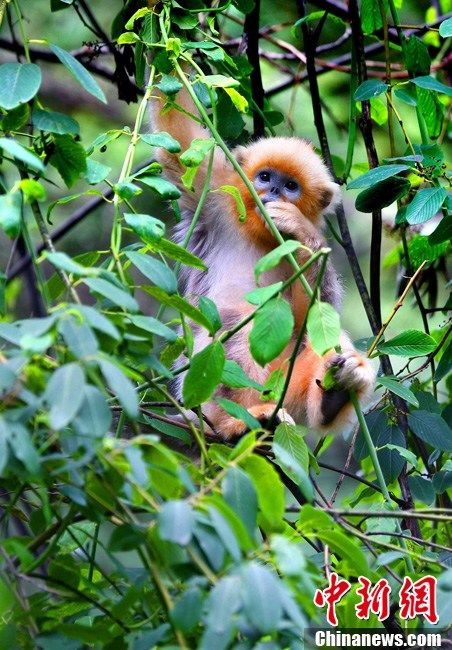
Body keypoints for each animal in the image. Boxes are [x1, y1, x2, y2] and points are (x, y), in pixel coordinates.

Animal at [152, 79, 374, 436]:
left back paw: (334, 395)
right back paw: (236, 421)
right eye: (265, 177)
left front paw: (296, 226)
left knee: (325, 340)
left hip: (284, 384)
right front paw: (172, 64)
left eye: (291, 186)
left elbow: (313, 313)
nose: (271, 193)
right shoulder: (216, 195)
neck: (260, 234)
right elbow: (179, 143)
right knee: (234, 326)